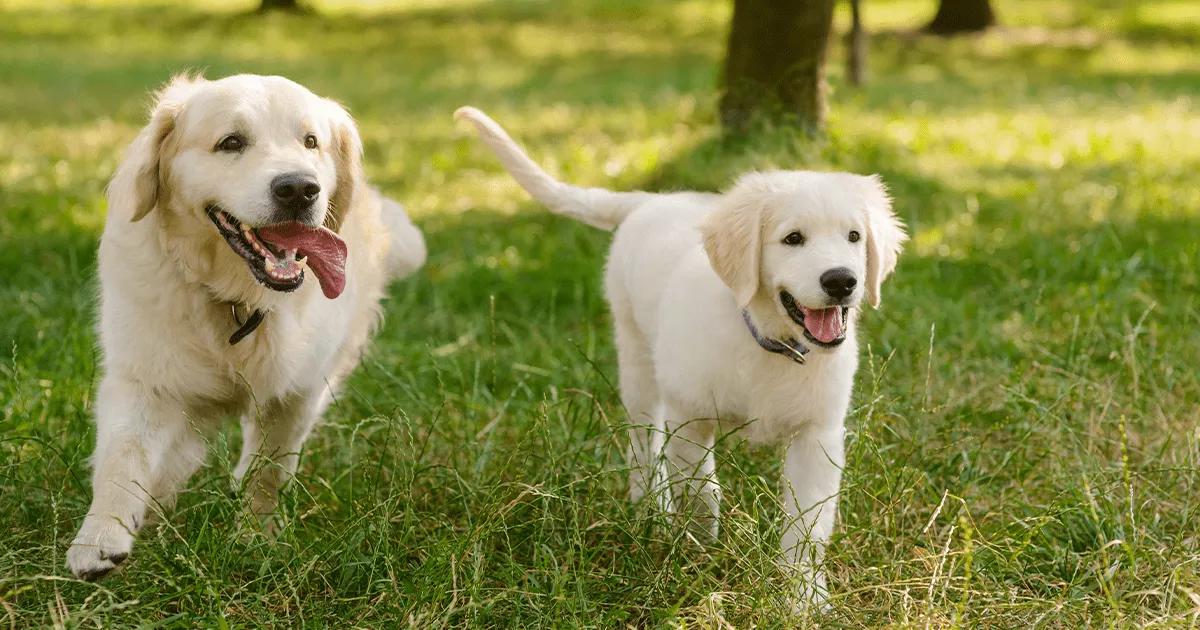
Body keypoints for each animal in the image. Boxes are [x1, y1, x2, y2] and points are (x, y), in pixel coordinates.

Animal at [69, 75, 427, 580]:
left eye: (310, 141)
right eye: (231, 142)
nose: (299, 189)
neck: (240, 302)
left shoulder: (296, 391)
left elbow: (269, 469)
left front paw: (256, 538)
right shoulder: (144, 375)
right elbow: (123, 457)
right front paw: (101, 537)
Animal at [453, 105, 902, 607]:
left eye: (854, 236)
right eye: (792, 239)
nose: (841, 281)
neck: (765, 341)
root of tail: (648, 202)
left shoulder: (817, 434)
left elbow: (806, 526)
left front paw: (804, 597)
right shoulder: (692, 415)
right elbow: (701, 488)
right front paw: (699, 551)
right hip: (637, 360)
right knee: (643, 443)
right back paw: (650, 510)